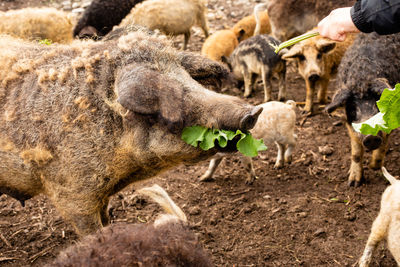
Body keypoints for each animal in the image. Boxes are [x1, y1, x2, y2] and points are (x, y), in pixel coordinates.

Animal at [0, 28, 262, 237]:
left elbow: (105, 216)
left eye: (190, 80)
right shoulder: (70, 192)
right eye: (177, 96)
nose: (253, 111)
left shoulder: (102, 193)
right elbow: (90, 230)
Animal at [326, 32, 400, 187]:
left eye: (377, 105)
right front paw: (353, 183)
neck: (361, 79)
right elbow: (355, 153)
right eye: (354, 109)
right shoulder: (349, 123)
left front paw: (374, 167)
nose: (371, 136)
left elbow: (384, 143)